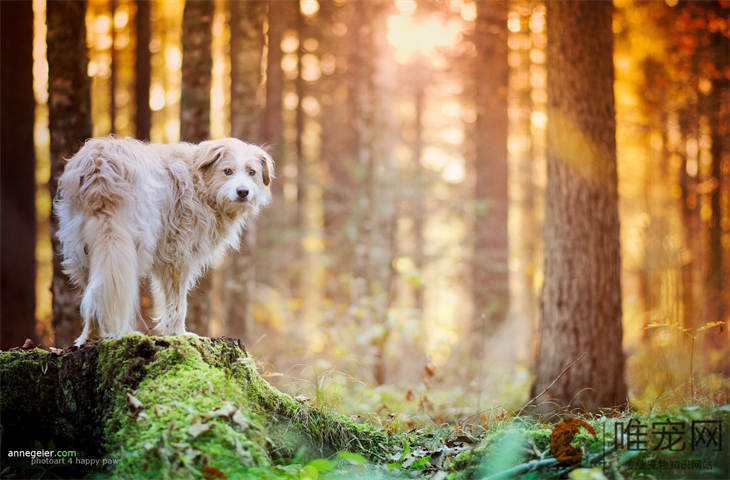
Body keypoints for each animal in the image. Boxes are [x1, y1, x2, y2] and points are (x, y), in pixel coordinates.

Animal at [54, 136, 272, 344]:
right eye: (228, 171)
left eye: (251, 172)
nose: (243, 192)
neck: (199, 182)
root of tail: (100, 165)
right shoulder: (178, 255)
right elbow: (177, 302)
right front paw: (178, 333)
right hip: (134, 242)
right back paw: (124, 333)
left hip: (83, 246)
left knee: (96, 292)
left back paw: (92, 336)